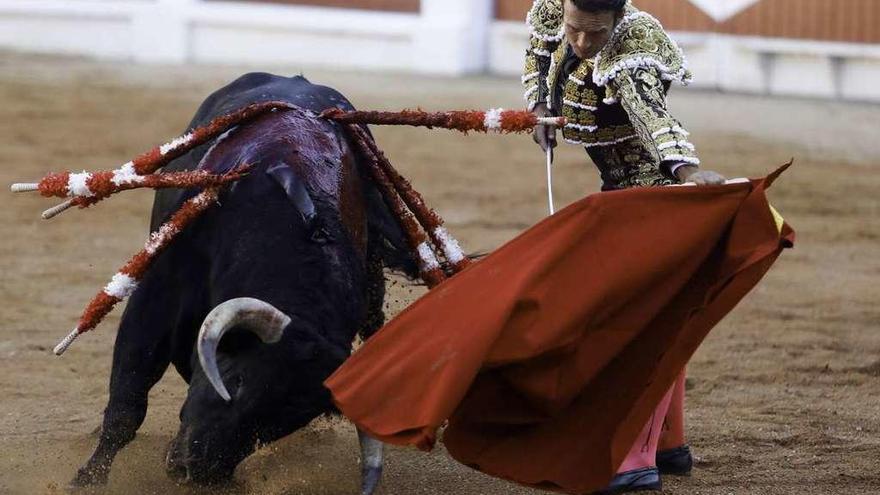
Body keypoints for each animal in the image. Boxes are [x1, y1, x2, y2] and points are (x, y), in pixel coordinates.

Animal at [69, 71, 416, 494]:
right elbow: (127, 403)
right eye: (234, 380)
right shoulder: (154, 302)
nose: (197, 471)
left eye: (281, 425)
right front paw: (88, 479)